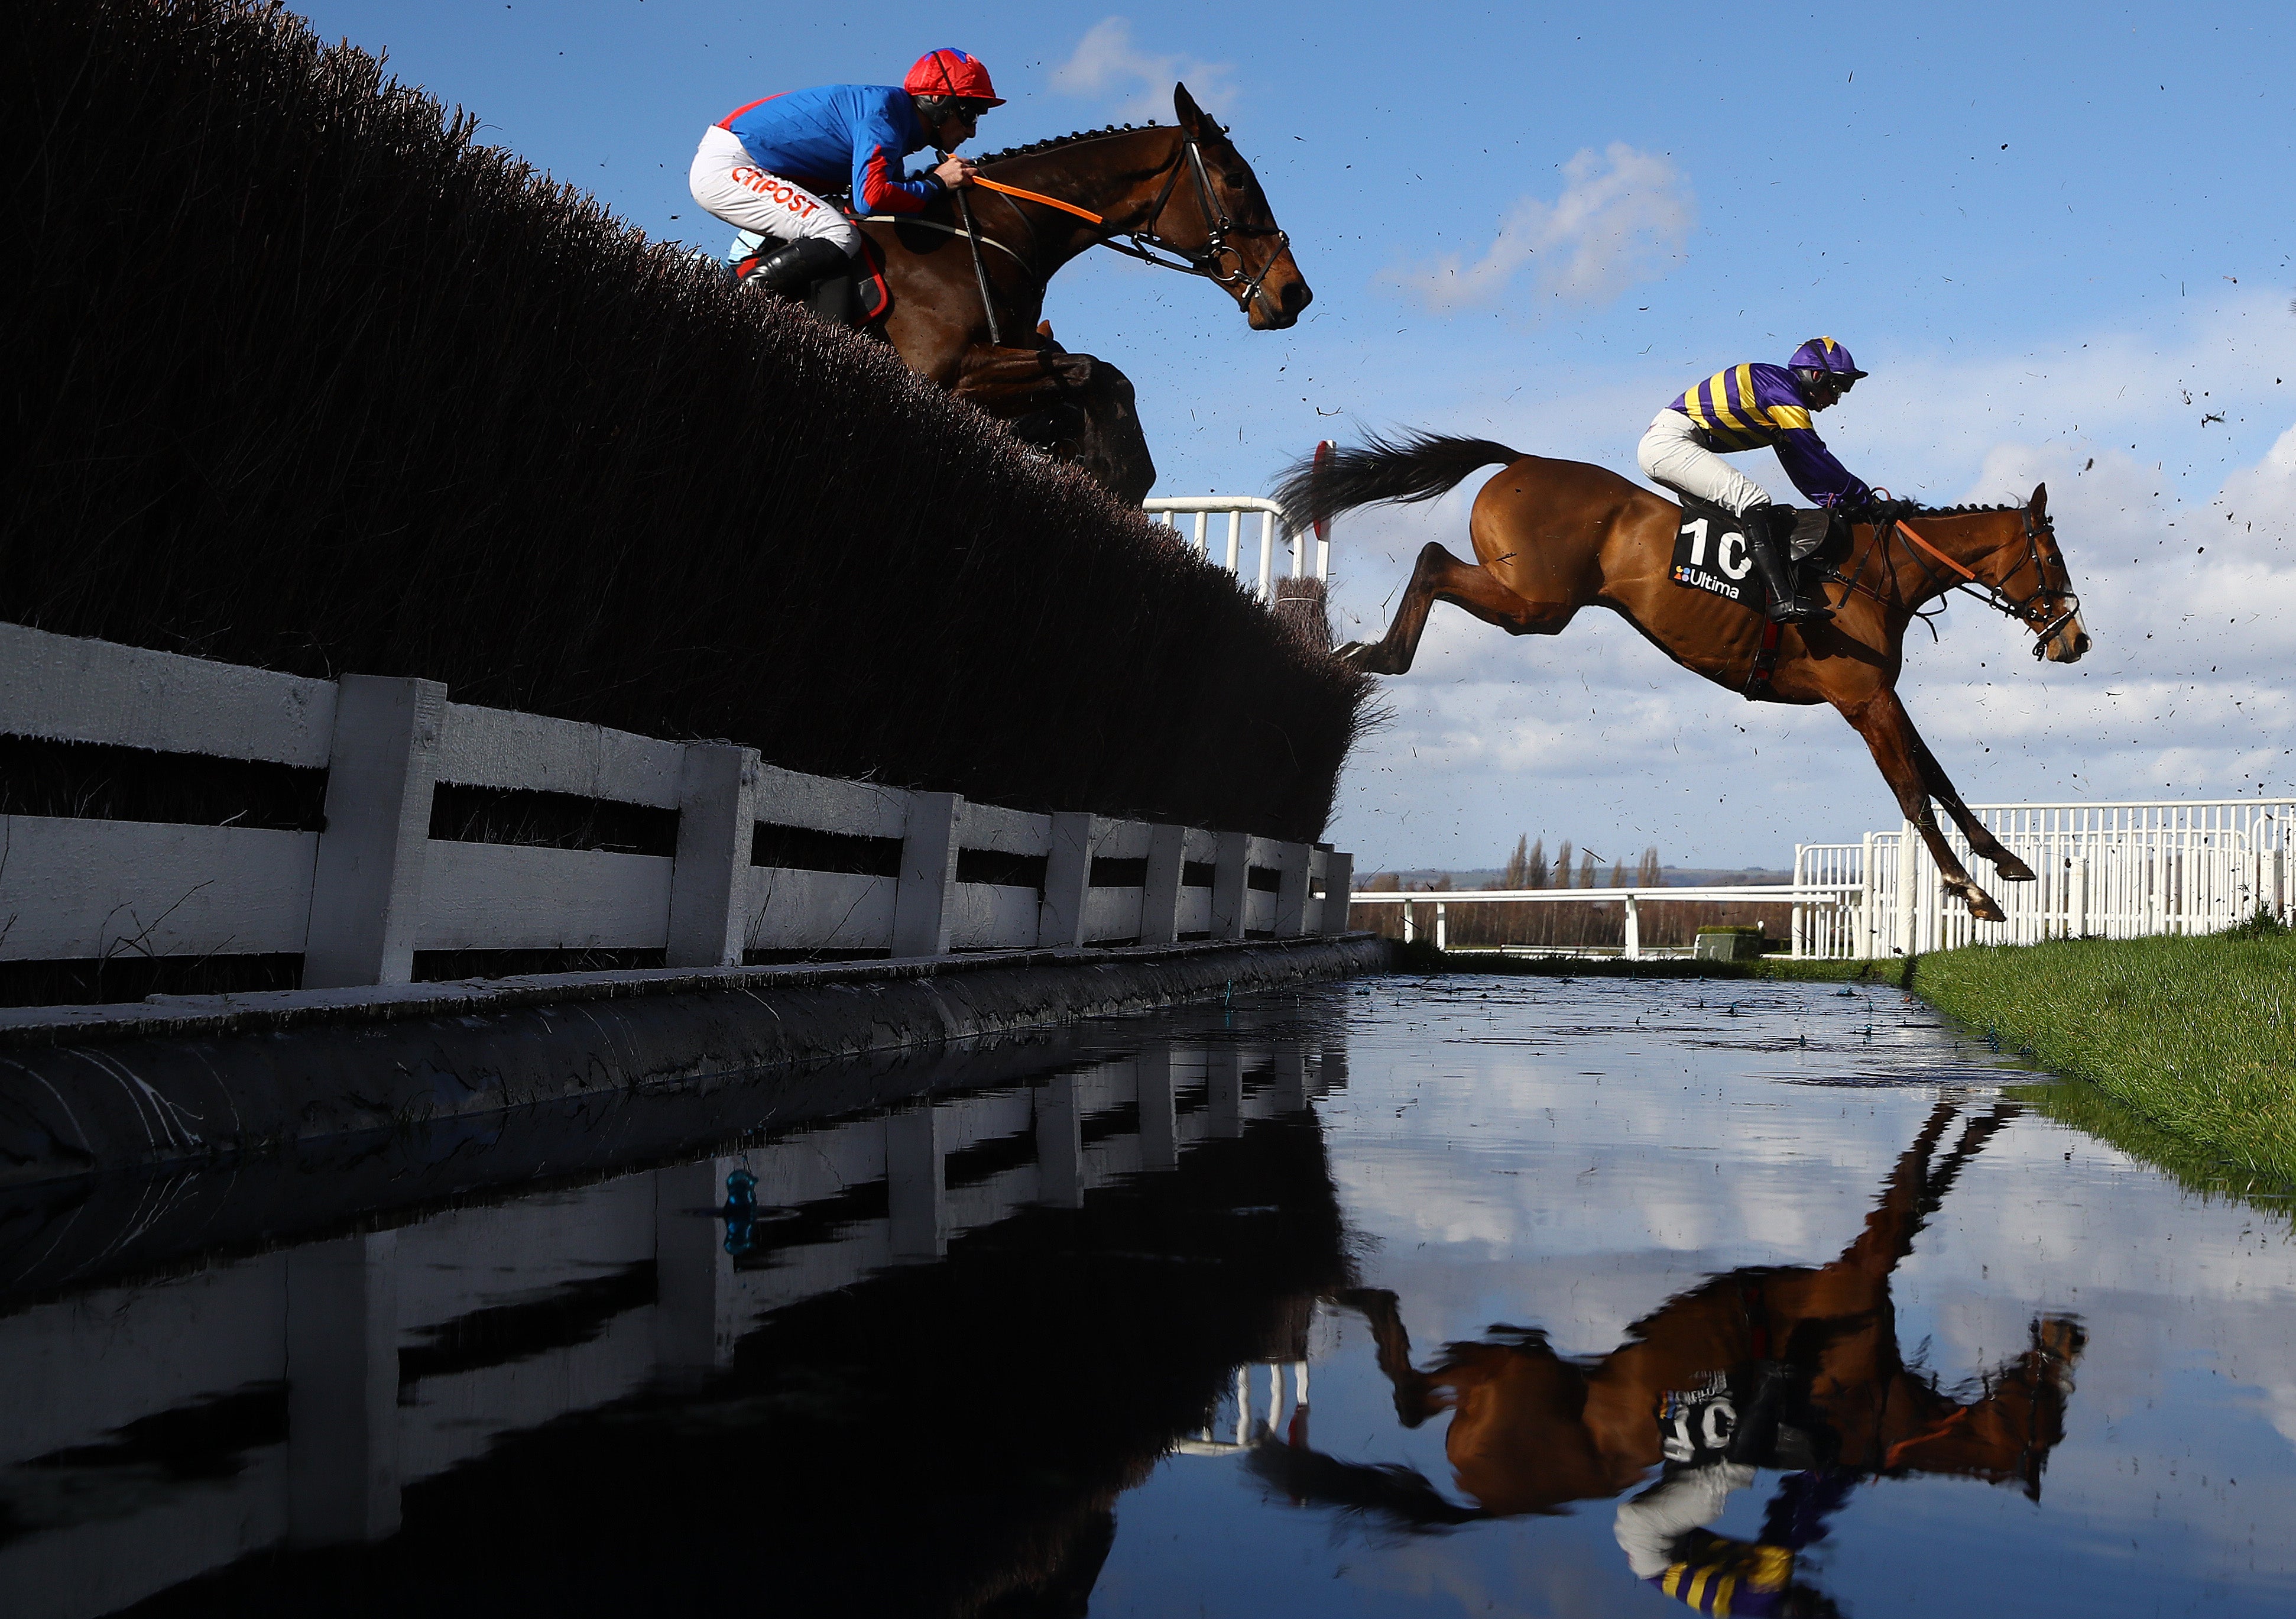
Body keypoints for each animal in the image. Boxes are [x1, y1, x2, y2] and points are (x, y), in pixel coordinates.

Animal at [1286, 436, 2094, 914]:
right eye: (2052, 558)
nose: (2076, 639)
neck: (1873, 574)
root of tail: (1517, 460)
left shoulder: (1878, 695)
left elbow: (1939, 779)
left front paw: (2006, 862)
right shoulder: (1861, 697)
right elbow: (1912, 792)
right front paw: (1970, 892)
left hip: (1531, 599)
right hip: (1535, 602)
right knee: (1429, 558)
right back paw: (1372, 655)